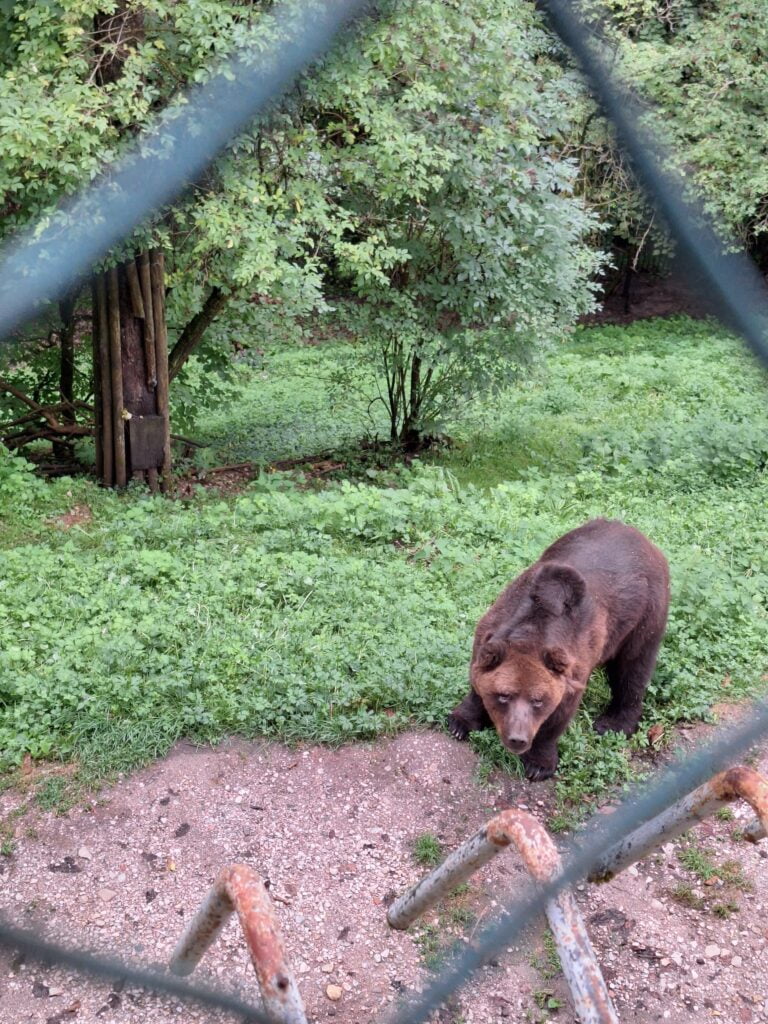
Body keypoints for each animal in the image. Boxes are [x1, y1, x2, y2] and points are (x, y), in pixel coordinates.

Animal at [448, 516, 671, 778]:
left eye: (538, 700)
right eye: (504, 695)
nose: (518, 739)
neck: (535, 626)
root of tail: (642, 537)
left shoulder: (574, 662)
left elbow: (558, 716)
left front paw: (538, 764)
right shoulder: (490, 629)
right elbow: (476, 684)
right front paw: (460, 723)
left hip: (645, 613)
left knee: (633, 668)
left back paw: (613, 723)